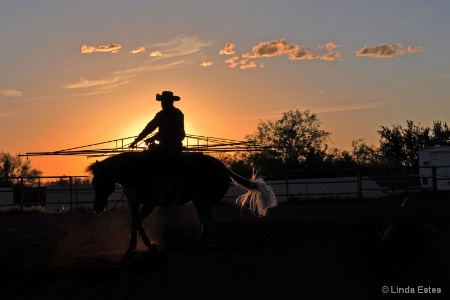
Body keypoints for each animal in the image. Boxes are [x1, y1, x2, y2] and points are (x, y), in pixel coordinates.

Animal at [84, 151, 274, 252]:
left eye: (100, 183)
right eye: (93, 183)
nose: (96, 207)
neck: (136, 171)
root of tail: (224, 168)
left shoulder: (150, 201)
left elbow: (137, 223)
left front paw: (149, 245)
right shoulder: (134, 203)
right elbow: (135, 223)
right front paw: (133, 247)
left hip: (204, 201)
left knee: (208, 225)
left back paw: (196, 246)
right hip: (199, 202)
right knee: (205, 225)